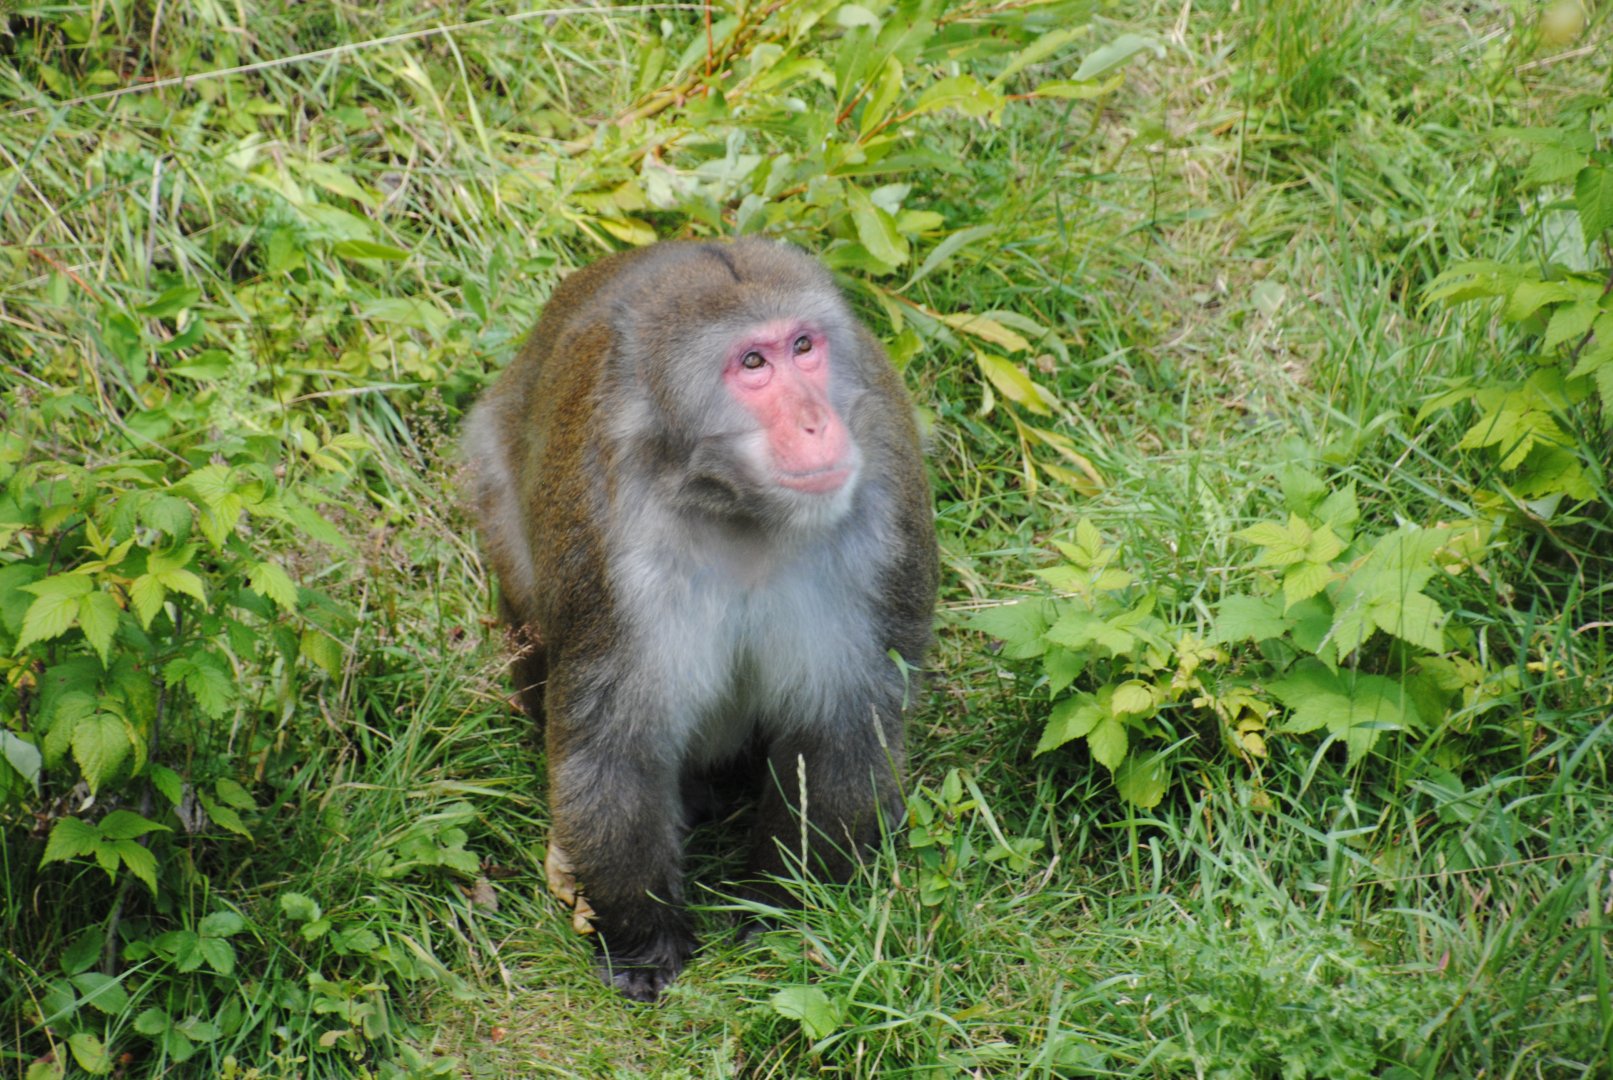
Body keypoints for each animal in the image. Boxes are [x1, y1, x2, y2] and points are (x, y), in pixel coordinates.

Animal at [461, 237, 937, 1001]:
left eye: (803, 347)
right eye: (753, 364)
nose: (816, 421)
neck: (736, 505)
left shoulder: (883, 513)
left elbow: (842, 722)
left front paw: (782, 907)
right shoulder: (614, 546)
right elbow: (616, 745)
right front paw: (642, 938)